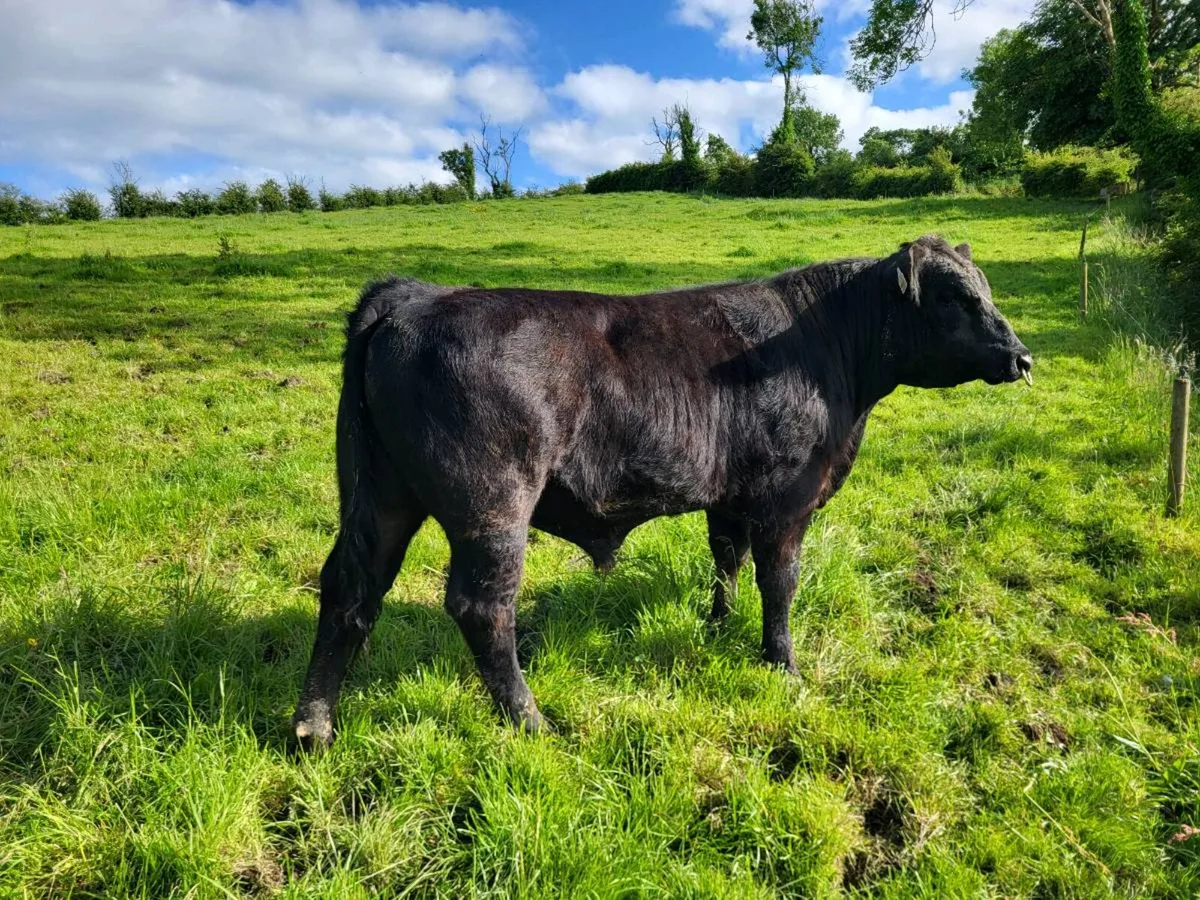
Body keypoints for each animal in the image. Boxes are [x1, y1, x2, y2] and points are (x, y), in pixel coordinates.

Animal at [292, 235, 1033, 748]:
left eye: (985, 289)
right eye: (953, 296)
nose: (1022, 357)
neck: (828, 349)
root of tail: (416, 293)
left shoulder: (730, 497)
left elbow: (727, 561)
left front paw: (716, 626)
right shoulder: (787, 500)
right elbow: (781, 582)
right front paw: (784, 666)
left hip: (380, 496)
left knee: (350, 589)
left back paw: (313, 726)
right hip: (493, 507)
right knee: (481, 608)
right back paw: (532, 722)